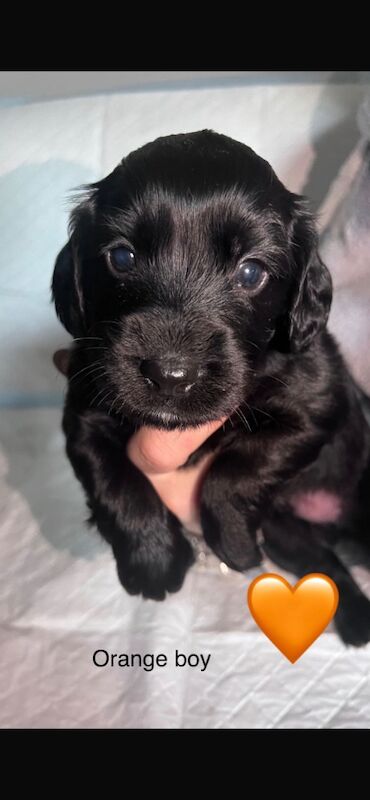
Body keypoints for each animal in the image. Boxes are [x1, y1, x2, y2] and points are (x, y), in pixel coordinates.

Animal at [51, 130, 370, 644]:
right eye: (122, 257)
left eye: (251, 271)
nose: (170, 373)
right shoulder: (86, 402)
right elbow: (111, 477)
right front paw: (153, 561)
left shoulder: (317, 401)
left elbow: (239, 470)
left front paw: (235, 545)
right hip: (286, 533)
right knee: (326, 561)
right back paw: (356, 617)